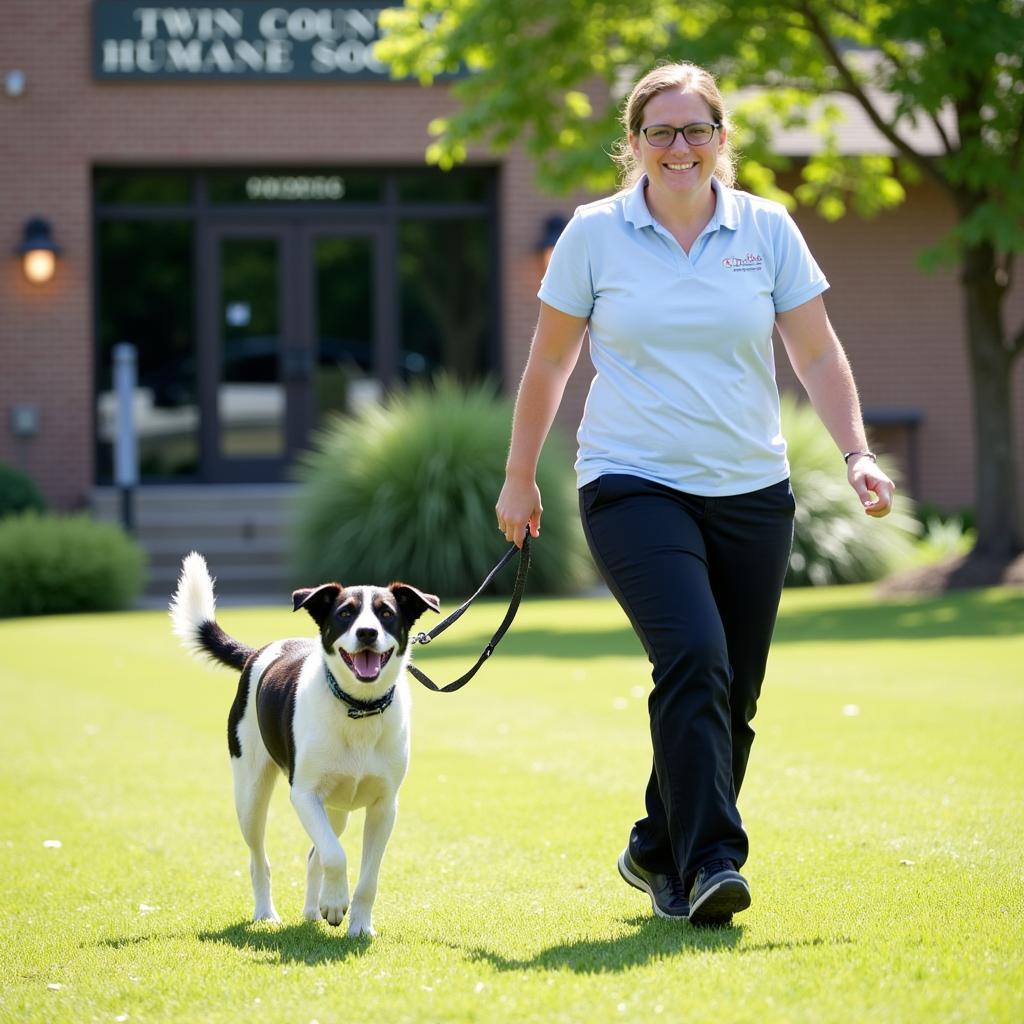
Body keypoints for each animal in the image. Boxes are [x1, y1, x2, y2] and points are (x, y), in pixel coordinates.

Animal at [168, 552, 440, 937]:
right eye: (345, 613)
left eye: (386, 613)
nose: (367, 632)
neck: (358, 707)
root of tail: (257, 653)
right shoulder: (305, 795)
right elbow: (335, 855)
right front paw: (335, 901)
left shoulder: (385, 806)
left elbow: (366, 875)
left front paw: (358, 924)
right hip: (251, 795)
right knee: (260, 858)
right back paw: (267, 912)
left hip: (337, 807)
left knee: (316, 853)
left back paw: (314, 909)